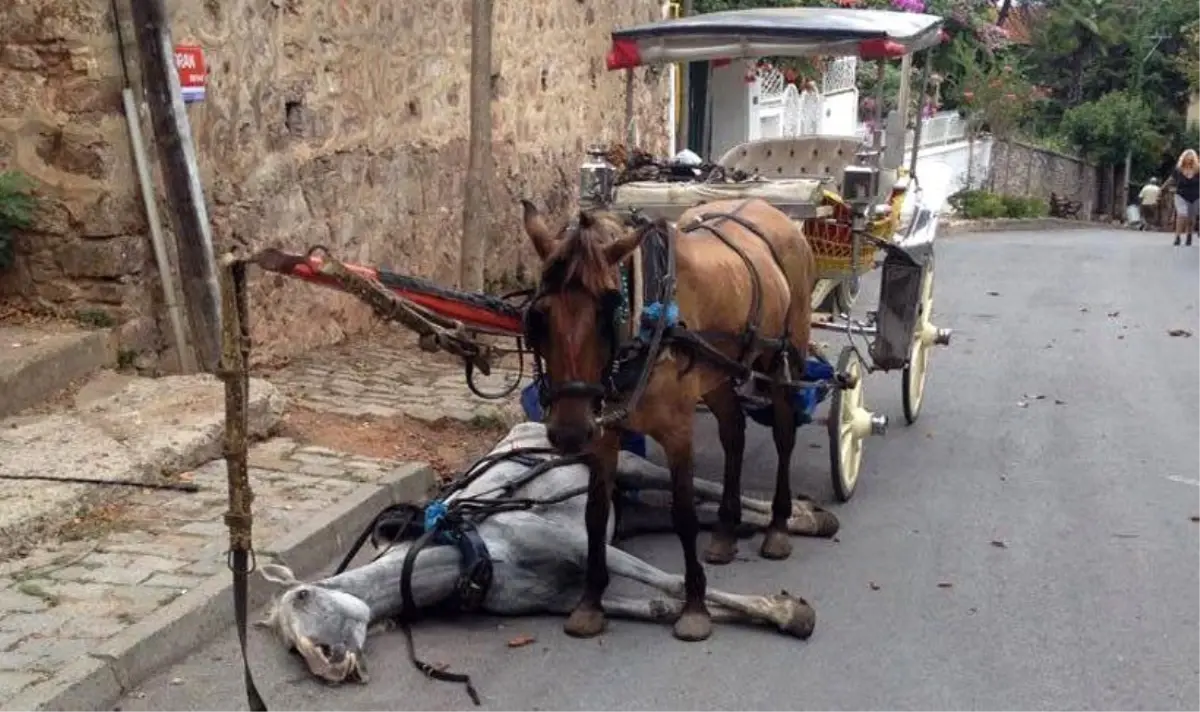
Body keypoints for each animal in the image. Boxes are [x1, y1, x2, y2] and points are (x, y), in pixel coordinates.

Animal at [258, 422, 840, 681]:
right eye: (288, 647)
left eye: (304, 598)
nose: (328, 665)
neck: (473, 553)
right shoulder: (559, 600)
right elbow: (656, 604)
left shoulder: (582, 547)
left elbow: (673, 582)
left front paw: (788, 613)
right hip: (625, 511)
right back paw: (781, 522)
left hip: (630, 468)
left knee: (698, 487)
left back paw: (799, 517)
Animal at [520, 196, 830, 643]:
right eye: (538, 317)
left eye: (608, 310)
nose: (568, 432)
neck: (647, 326)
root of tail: (767, 207)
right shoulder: (604, 434)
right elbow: (595, 513)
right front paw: (590, 603)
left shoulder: (678, 431)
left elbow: (683, 513)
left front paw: (695, 607)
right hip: (716, 376)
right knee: (734, 432)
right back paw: (724, 533)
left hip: (784, 359)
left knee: (784, 434)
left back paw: (777, 528)